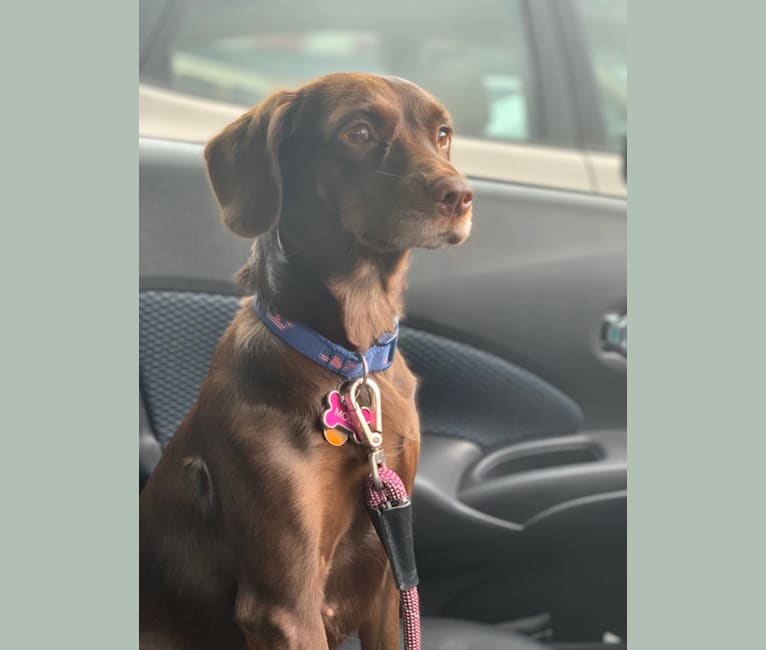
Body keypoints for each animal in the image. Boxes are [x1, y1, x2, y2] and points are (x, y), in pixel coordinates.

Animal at [140, 72, 474, 648]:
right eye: (357, 132)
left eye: (443, 134)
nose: (460, 195)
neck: (349, 359)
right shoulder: (285, 603)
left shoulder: (388, 573)